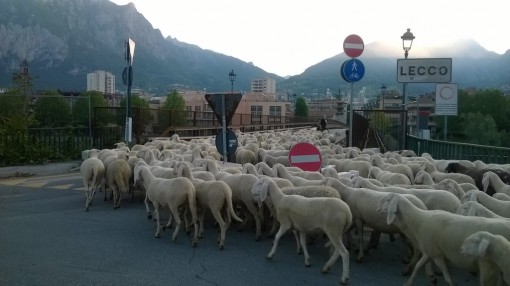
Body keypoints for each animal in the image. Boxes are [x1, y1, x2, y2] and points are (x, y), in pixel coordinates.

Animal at [376, 192, 510, 286]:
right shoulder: (430, 251)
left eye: (387, 200)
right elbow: (418, 266)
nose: (377, 209)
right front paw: (410, 282)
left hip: (487, 265)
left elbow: (448, 278)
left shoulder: (437, 255)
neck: (419, 220)